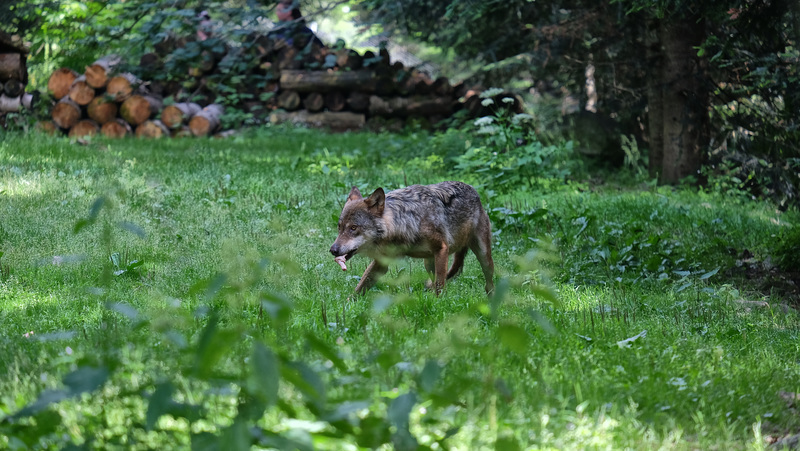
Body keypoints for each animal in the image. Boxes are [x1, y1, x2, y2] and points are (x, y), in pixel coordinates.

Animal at [326, 181, 490, 296]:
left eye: (353, 228)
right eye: (339, 227)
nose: (333, 250)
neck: (403, 223)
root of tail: (473, 190)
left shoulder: (442, 248)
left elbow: (440, 286)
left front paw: (439, 303)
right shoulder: (381, 263)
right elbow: (360, 287)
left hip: (482, 254)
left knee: (489, 281)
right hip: (428, 263)